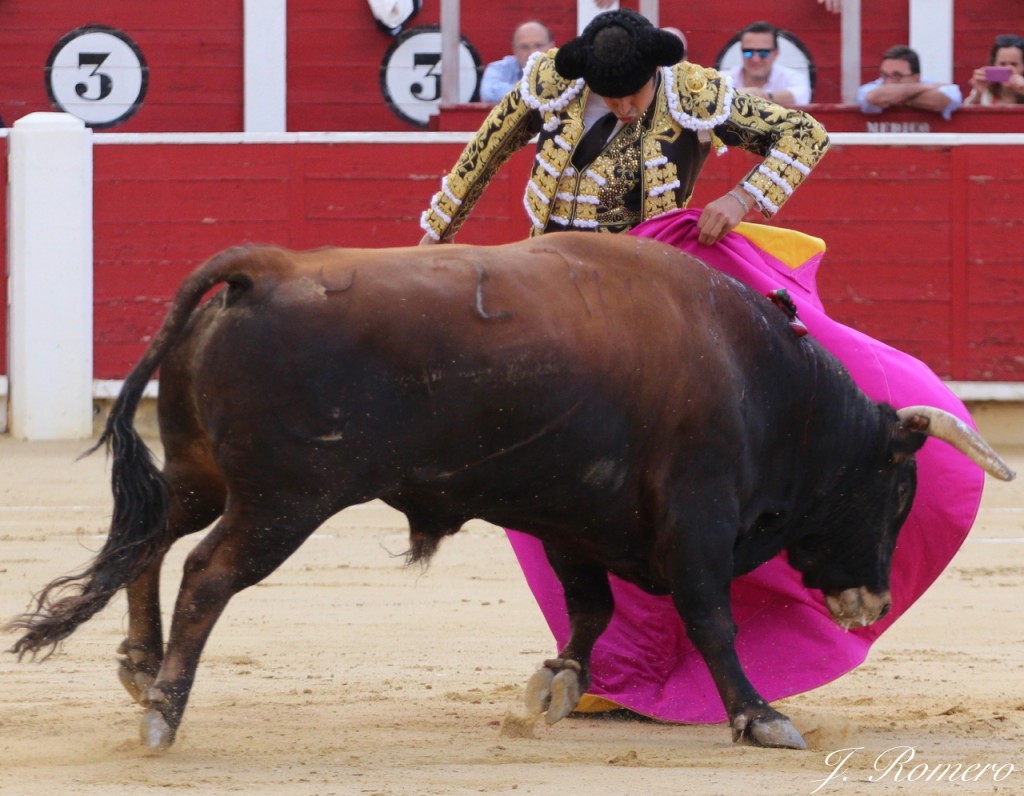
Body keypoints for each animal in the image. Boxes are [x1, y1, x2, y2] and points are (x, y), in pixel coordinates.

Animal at [6, 231, 1015, 749]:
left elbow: (593, 608)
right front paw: (761, 716)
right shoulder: (698, 513)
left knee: (148, 540)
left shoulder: (575, 509)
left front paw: (557, 684)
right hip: (284, 498)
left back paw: (141, 669)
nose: (872, 600)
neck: (765, 380)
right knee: (208, 574)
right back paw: (165, 713)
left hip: (201, 472)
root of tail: (270, 268)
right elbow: (709, 615)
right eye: (897, 494)